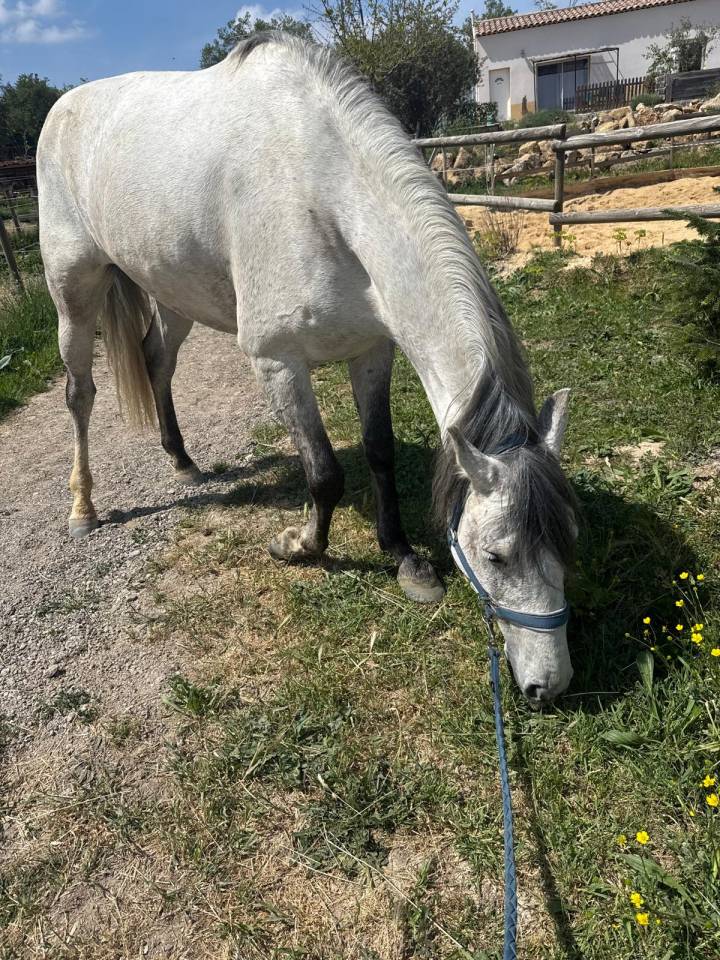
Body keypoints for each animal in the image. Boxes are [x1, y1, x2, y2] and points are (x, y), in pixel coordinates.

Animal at [37, 33, 577, 704]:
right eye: (496, 556)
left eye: (568, 540)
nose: (549, 685)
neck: (319, 191)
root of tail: (62, 110)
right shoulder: (278, 363)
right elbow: (324, 473)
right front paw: (302, 546)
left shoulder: (372, 352)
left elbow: (378, 453)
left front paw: (405, 558)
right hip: (73, 291)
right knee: (79, 394)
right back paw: (83, 509)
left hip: (174, 291)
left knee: (158, 361)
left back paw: (183, 461)